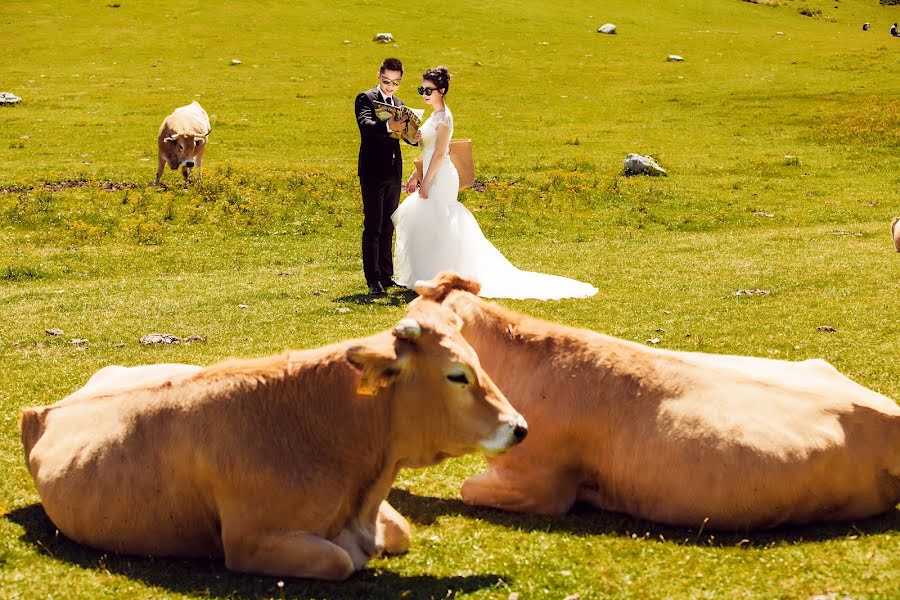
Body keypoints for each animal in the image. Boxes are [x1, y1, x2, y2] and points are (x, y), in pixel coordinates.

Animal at [19, 302, 528, 580]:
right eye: (457, 375)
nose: (520, 427)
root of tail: (43, 410)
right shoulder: (250, 542)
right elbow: (342, 559)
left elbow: (399, 531)